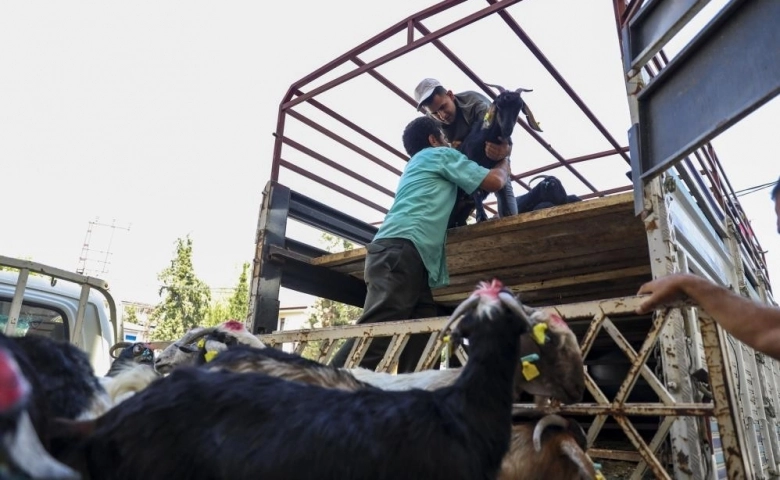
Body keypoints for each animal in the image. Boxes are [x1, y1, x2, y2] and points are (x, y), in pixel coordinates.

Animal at [448, 85, 540, 228]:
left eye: (519, 107)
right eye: (499, 104)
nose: (507, 129)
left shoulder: (499, 165)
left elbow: (501, 190)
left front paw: (508, 214)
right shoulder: (471, 166)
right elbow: (476, 190)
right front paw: (482, 216)